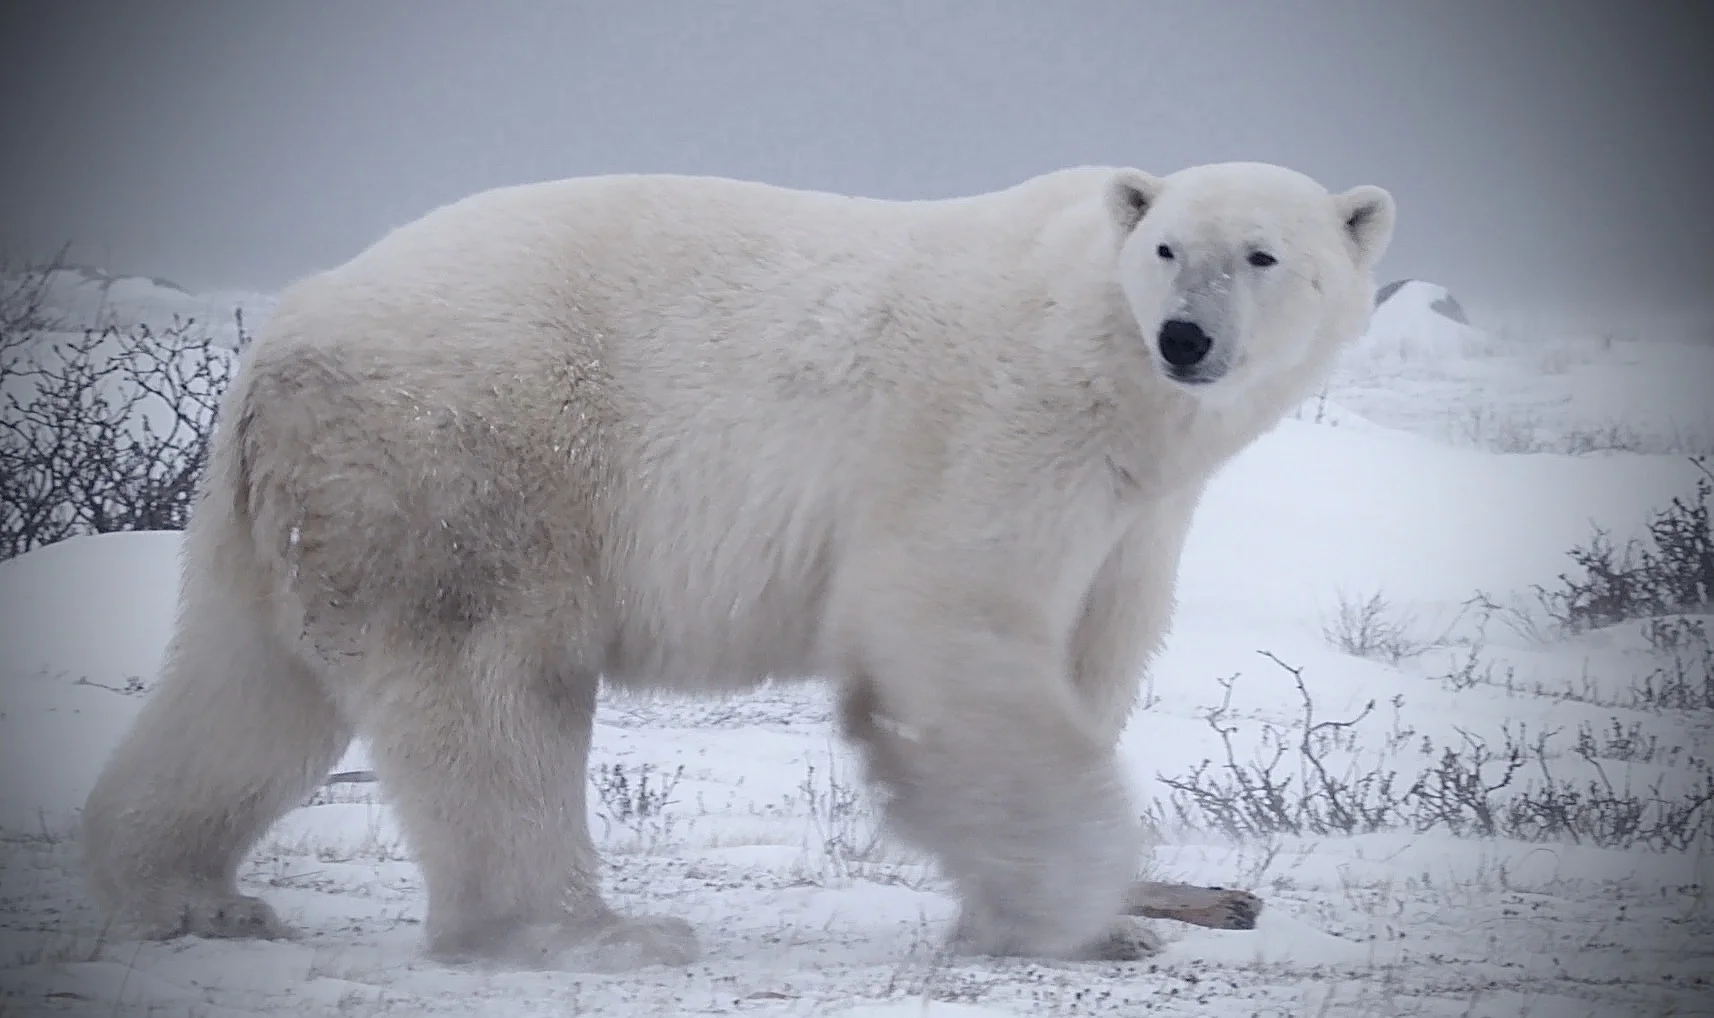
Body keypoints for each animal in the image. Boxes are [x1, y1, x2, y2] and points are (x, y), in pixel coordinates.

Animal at [79, 161, 1394, 970]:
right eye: (1168, 246)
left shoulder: (1137, 513)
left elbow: (1089, 655)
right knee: (490, 687)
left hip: (300, 501)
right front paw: (1078, 908)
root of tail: (281, 334)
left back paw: (188, 892)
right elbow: (940, 626)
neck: (1110, 371)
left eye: (1262, 255)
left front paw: (1077, 916)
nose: (1185, 336)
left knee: (249, 687)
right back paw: (588, 931)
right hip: (470, 451)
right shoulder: (998, 431)